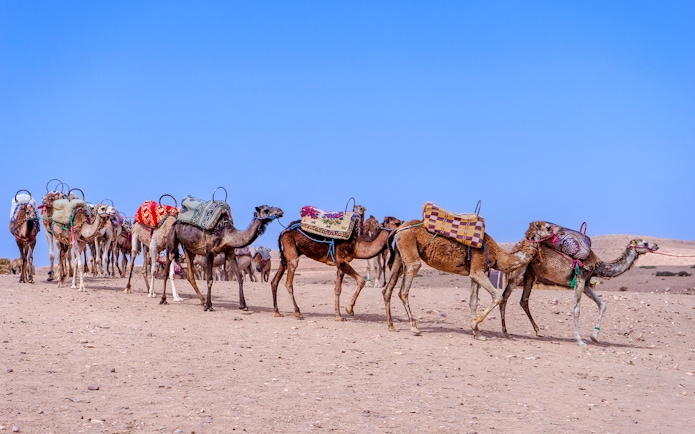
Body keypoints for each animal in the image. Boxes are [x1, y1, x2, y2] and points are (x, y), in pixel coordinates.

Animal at [270, 214, 403, 321]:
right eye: (397, 222)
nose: (403, 225)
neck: (357, 244)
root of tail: (283, 232)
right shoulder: (342, 261)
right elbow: (361, 281)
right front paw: (349, 309)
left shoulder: (341, 265)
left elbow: (337, 289)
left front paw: (339, 316)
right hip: (292, 253)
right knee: (288, 283)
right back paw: (297, 313)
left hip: (287, 255)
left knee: (274, 281)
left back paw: (277, 312)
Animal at [382, 220, 557, 340]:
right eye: (544, 226)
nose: (554, 229)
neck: (498, 254)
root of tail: (399, 229)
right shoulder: (478, 269)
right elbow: (497, 297)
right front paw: (474, 326)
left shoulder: (475, 273)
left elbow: (473, 302)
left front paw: (477, 333)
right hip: (411, 254)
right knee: (403, 291)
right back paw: (414, 327)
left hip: (399, 258)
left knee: (387, 290)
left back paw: (391, 326)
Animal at [497, 239, 658, 346]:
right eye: (644, 243)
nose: (656, 245)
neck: (597, 265)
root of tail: (515, 247)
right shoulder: (580, 279)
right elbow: (576, 310)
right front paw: (580, 340)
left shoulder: (586, 284)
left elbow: (602, 304)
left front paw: (594, 336)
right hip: (519, 271)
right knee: (504, 296)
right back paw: (506, 333)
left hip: (531, 274)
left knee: (523, 300)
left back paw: (538, 331)